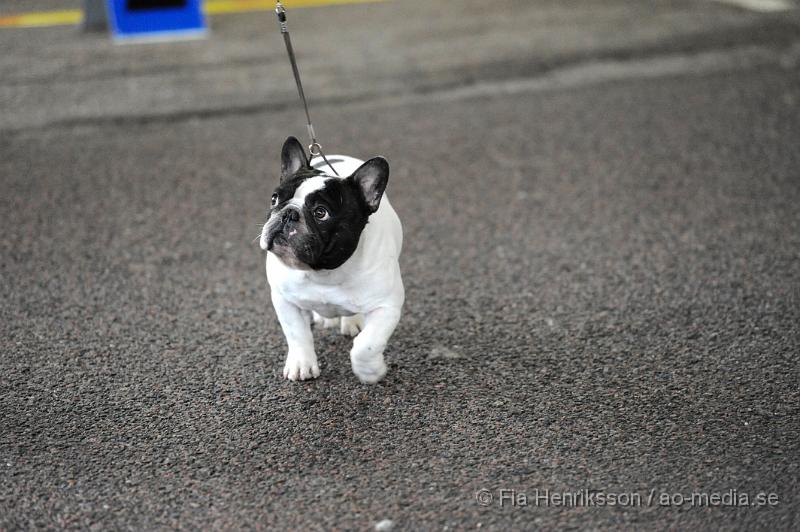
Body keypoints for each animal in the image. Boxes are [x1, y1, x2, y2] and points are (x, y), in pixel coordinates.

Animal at [260, 137, 404, 382]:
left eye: (321, 213)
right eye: (274, 199)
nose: (288, 213)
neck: (324, 273)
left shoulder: (387, 306)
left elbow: (367, 344)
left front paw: (370, 371)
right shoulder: (284, 299)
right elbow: (297, 334)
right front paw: (302, 364)